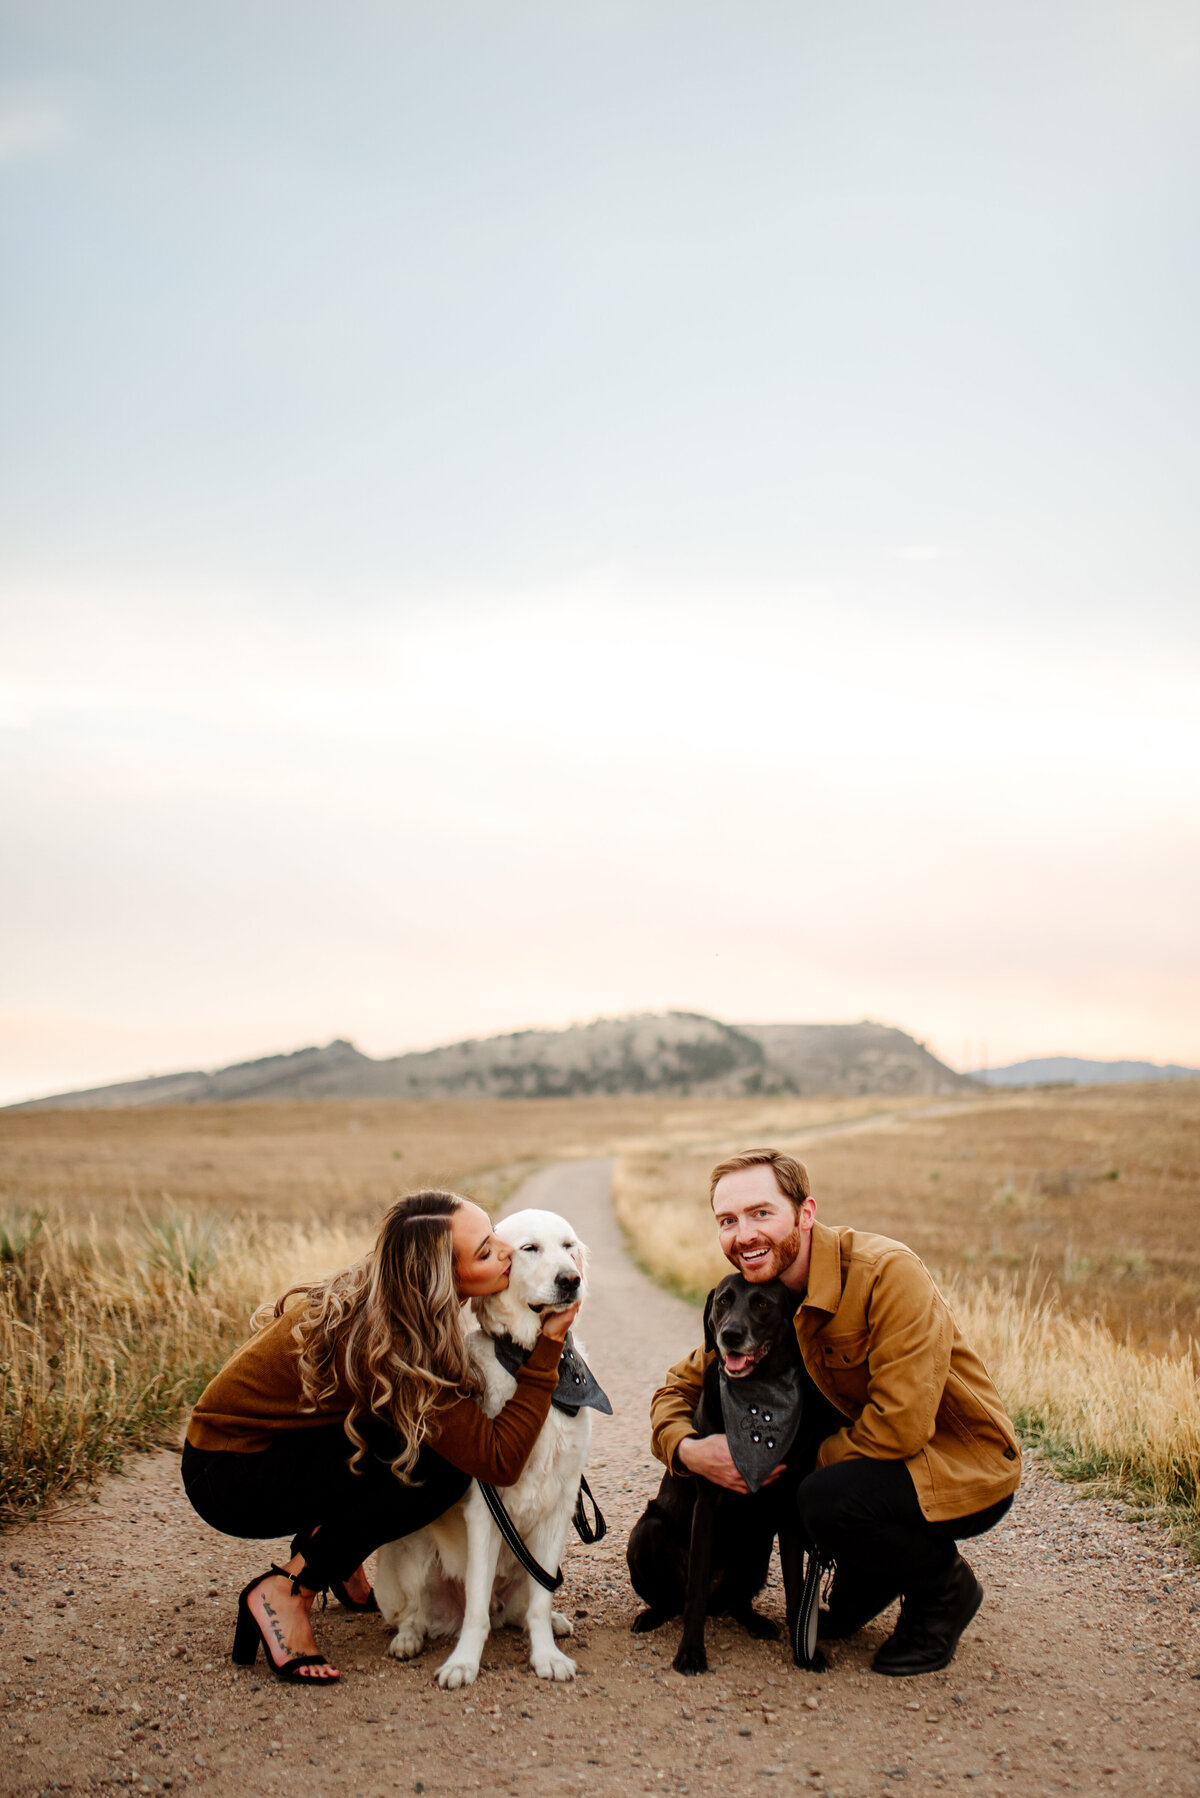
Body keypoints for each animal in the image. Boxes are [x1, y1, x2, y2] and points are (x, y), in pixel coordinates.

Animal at [376, 1208, 604, 1682]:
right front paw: (463, 1663)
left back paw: (553, 1621)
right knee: (416, 1613)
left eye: (568, 1246)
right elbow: (476, 1609)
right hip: (406, 1553)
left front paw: (546, 1655)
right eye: (530, 1248)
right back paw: (407, 1640)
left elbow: (538, 1604)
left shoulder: (560, 1504)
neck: (529, 1361)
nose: (570, 1279)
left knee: (522, 1608)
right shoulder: (485, 1510)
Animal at [626, 1272, 841, 1675]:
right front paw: (691, 1652)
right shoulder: (708, 1504)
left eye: (762, 1304)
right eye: (723, 1301)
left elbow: (795, 1586)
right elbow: (694, 1593)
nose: (730, 1334)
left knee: (738, 1602)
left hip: (757, 1547)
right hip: (647, 1532)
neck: (760, 1393)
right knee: (677, 1599)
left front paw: (804, 1650)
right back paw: (652, 1616)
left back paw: (756, 1622)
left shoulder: (789, 1513)